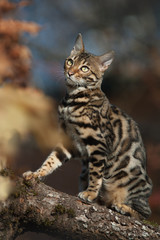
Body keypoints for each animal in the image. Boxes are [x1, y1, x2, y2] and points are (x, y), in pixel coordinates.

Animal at [23, 33, 152, 219]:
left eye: (84, 68)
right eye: (70, 61)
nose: (70, 73)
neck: (72, 101)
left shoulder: (98, 143)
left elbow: (96, 172)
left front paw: (90, 193)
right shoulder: (68, 141)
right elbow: (51, 160)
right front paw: (36, 174)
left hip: (131, 179)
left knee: (144, 213)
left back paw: (123, 207)